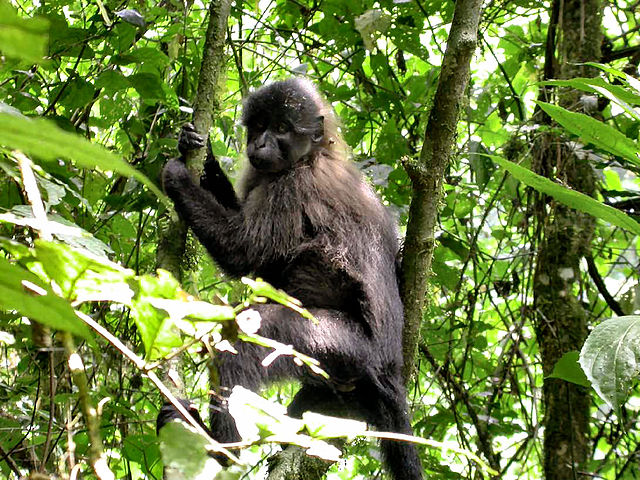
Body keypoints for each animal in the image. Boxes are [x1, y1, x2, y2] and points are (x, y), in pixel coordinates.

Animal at [158, 79, 422, 480]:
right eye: (259, 126)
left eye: (282, 128)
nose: (260, 145)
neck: (312, 155)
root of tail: (390, 366)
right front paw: (201, 155)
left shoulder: (295, 186)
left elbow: (242, 253)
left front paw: (179, 178)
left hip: (341, 344)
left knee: (243, 341)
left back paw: (219, 452)